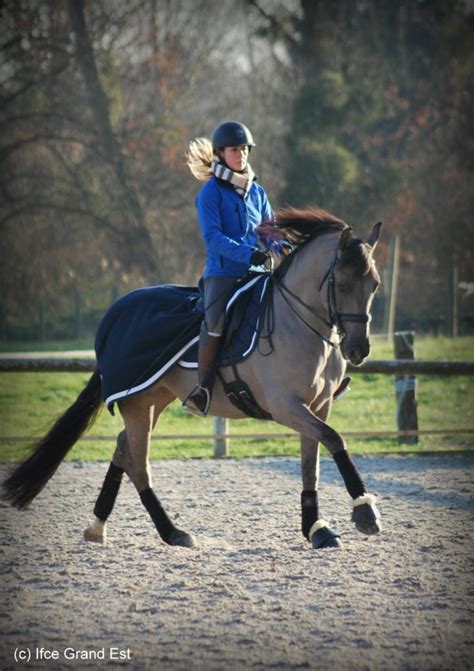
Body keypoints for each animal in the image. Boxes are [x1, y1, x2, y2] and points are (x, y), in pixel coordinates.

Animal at [1, 209, 384, 552]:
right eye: (342, 284)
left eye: (375, 285)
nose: (359, 349)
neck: (299, 323)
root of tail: (114, 315)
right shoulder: (287, 406)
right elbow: (334, 440)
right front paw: (364, 513)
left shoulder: (318, 406)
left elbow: (311, 465)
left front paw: (317, 529)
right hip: (137, 403)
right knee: (139, 466)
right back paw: (172, 533)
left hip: (153, 398)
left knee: (125, 449)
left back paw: (98, 526)